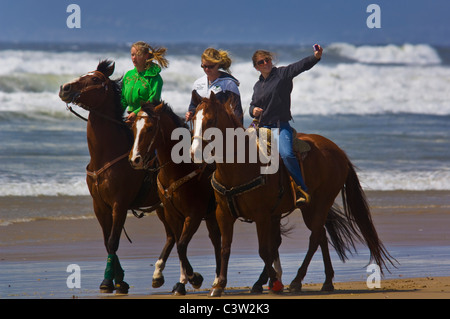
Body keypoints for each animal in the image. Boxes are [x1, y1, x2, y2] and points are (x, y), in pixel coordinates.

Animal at [59, 60, 164, 296]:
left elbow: (114, 241)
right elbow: (108, 242)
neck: (105, 154)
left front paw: (113, 281)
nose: (65, 88)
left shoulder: (120, 204)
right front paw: (116, 280)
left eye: (94, 79)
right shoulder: (100, 205)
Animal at [128, 101, 221, 296]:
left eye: (149, 128)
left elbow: (182, 245)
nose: (135, 159)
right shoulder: (173, 215)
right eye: (133, 128)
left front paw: (194, 278)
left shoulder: (193, 215)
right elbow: (179, 245)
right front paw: (182, 282)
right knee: (216, 240)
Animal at [190, 92, 394, 298]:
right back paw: (326, 281)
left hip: (319, 204)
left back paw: (297, 280)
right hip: (310, 209)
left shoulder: (262, 216)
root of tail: (339, 152)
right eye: (193, 119)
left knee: (314, 238)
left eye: (211, 120)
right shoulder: (223, 214)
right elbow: (225, 248)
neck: (241, 165)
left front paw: (275, 283)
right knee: (320, 236)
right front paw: (219, 285)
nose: (194, 153)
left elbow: (264, 250)